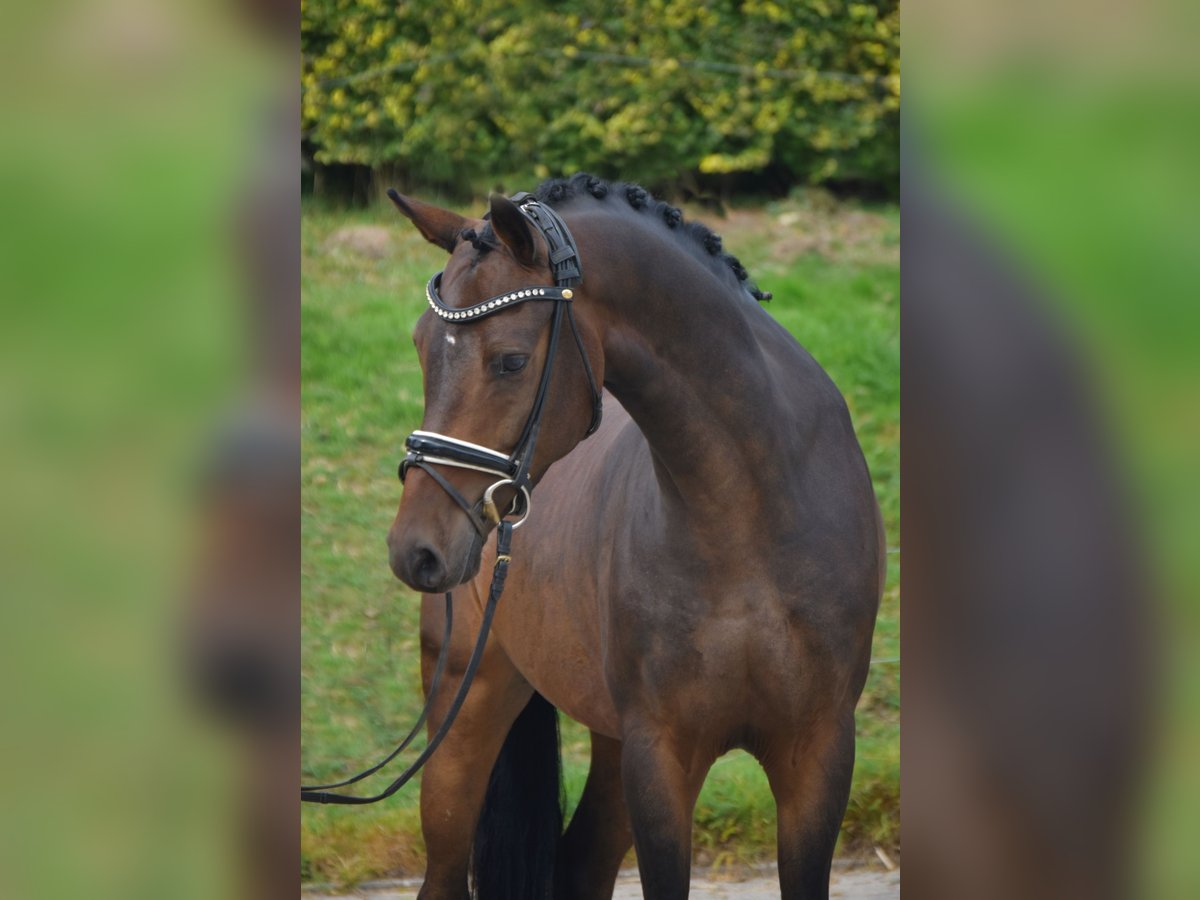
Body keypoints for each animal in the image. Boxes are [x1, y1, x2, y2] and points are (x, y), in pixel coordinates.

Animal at [384, 172, 883, 897]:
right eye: (423, 347)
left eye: (511, 361)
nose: (413, 549)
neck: (747, 518)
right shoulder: (659, 757)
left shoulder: (818, 755)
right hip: (465, 706)